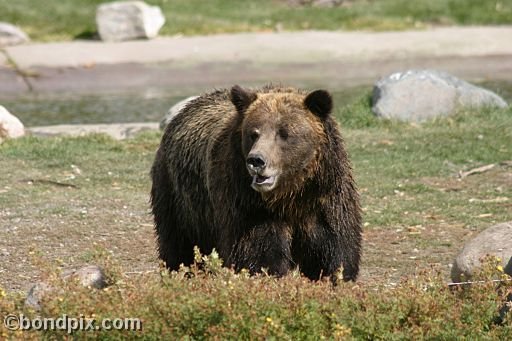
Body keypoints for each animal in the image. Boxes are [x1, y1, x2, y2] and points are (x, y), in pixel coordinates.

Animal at [150, 83, 362, 280]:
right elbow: (258, 253)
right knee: (179, 246)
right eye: (253, 133)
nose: (256, 160)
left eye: (284, 133)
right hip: (181, 200)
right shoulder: (248, 204)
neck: (290, 196)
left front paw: (335, 276)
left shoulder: (324, 200)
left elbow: (333, 251)